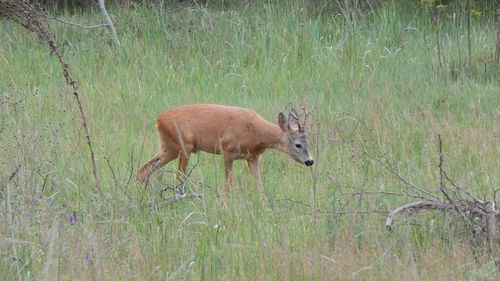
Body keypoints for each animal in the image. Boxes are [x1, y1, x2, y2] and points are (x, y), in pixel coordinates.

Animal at [137, 104, 314, 191]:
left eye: (308, 142)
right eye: (298, 145)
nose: (310, 161)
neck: (257, 134)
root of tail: (158, 119)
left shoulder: (253, 157)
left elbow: (259, 185)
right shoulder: (228, 150)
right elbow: (228, 183)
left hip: (169, 148)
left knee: (144, 169)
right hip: (184, 146)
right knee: (179, 177)